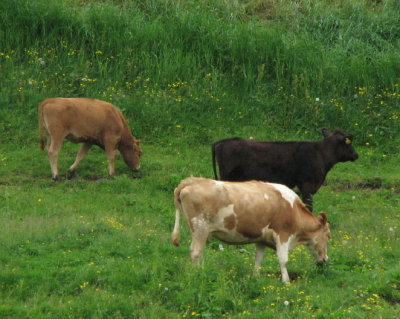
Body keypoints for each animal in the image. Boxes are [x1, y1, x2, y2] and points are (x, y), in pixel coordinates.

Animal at [172, 179, 332, 284]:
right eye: (328, 236)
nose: (325, 258)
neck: (295, 210)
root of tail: (191, 180)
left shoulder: (261, 239)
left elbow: (258, 259)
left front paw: (256, 277)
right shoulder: (283, 235)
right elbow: (283, 260)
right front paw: (286, 282)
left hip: (201, 232)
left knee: (199, 253)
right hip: (200, 228)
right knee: (195, 252)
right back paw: (198, 274)